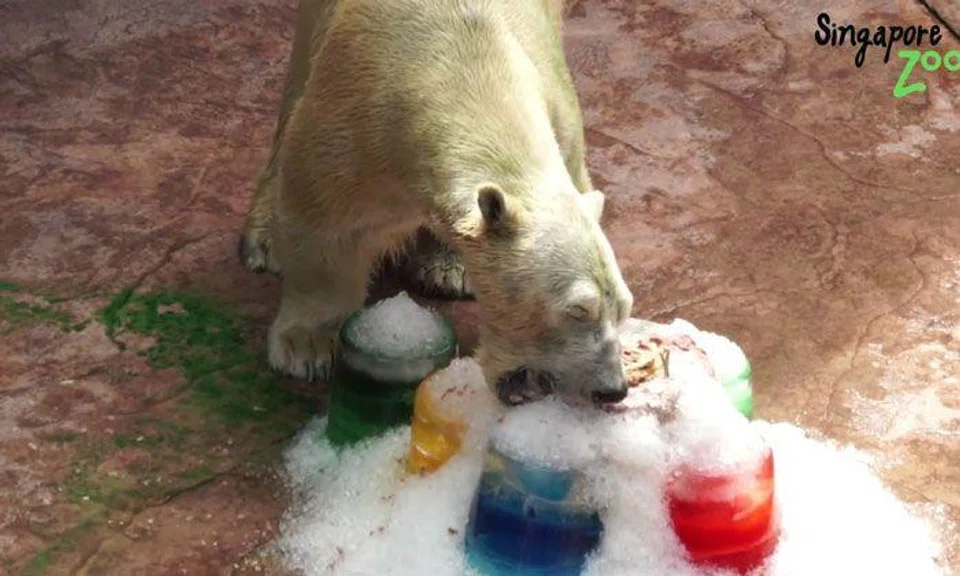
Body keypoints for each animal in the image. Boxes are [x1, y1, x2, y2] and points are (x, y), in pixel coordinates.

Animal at [239, 0, 635, 404]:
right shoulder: (353, 113)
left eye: (623, 308)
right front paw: (306, 347)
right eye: (577, 310)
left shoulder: (562, 123)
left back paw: (449, 269)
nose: (612, 389)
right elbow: (324, 217)